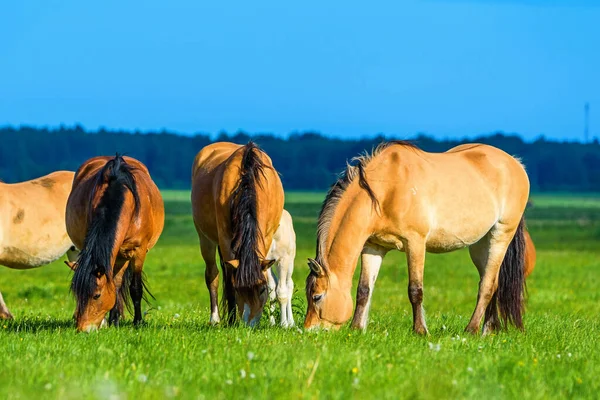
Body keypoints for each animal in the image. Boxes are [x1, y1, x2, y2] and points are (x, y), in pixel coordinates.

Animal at [66, 155, 164, 332]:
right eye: (77, 295)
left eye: (96, 295)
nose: (83, 329)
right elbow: (114, 286)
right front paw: (113, 321)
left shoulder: (137, 251)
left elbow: (135, 288)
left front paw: (138, 323)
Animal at [192, 142, 286, 326]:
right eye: (239, 289)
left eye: (262, 288)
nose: (250, 324)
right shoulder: (225, 239)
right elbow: (228, 281)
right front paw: (231, 320)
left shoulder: (266, 236)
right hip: (205, 239)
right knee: (212, 275)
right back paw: (215, 319)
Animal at [304, 141, 528, 334]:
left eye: (316, 296)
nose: (308, 331)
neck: (386, 189)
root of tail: (515, 163)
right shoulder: (373, 246)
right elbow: (364, 289)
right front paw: (357, 328)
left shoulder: (415, 243)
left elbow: (415, 290)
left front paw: (420, 331)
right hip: (480, 245)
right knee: (492, 281)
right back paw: (487, 330)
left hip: (500, 236)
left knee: (487, 285)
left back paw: (471, 330)